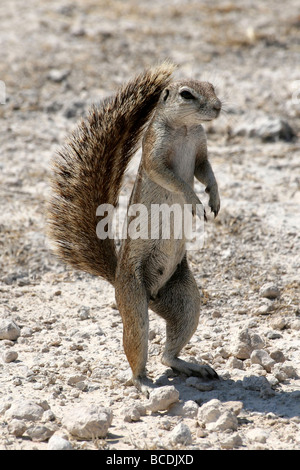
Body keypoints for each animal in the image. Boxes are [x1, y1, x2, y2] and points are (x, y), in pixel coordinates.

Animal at [48, 62, 223, 392]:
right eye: (186, 94)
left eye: (213, 87)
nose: (218, 107)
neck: (185, 128)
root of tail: (118, 278)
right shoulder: (155, 153)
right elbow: (172, 178)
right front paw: (194, 200)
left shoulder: (201, 150)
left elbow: (206, 171)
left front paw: (215, 198)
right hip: (133, 301)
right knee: (137, 345)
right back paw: (142, 382)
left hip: (186, 301)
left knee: (168, 355)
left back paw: (191, 365)